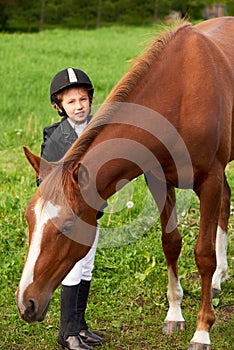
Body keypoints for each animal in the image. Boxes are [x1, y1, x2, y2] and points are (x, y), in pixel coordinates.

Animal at [15, 17, 233, 350]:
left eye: (67, 225)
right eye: (29, 220)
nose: (25, 303)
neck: (180, 96)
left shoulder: (209, 180)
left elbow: (203, 254)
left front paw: (202, 331)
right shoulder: (158, 179)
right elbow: (171, 243)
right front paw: (174, 314)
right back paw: (221, 278)